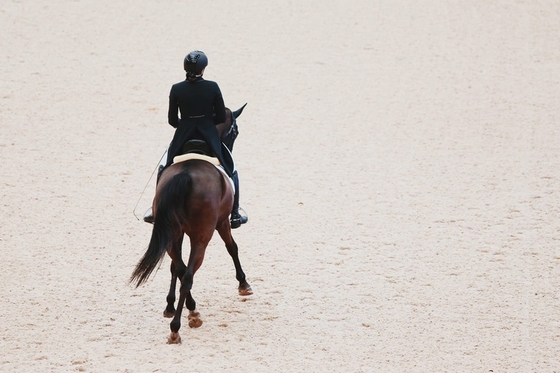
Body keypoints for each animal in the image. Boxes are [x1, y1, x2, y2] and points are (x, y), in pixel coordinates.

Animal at [129, 104, 252, 342]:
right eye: (235, 131)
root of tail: (186, 174)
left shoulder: (176, 233)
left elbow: (172, 266)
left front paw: (169, 305)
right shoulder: (222, 222)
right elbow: (232, 247)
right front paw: (243, 283)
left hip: (172, 232)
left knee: (179, 267)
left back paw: (186, 310)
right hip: (202, 236)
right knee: (187, 274)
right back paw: (182, 323)